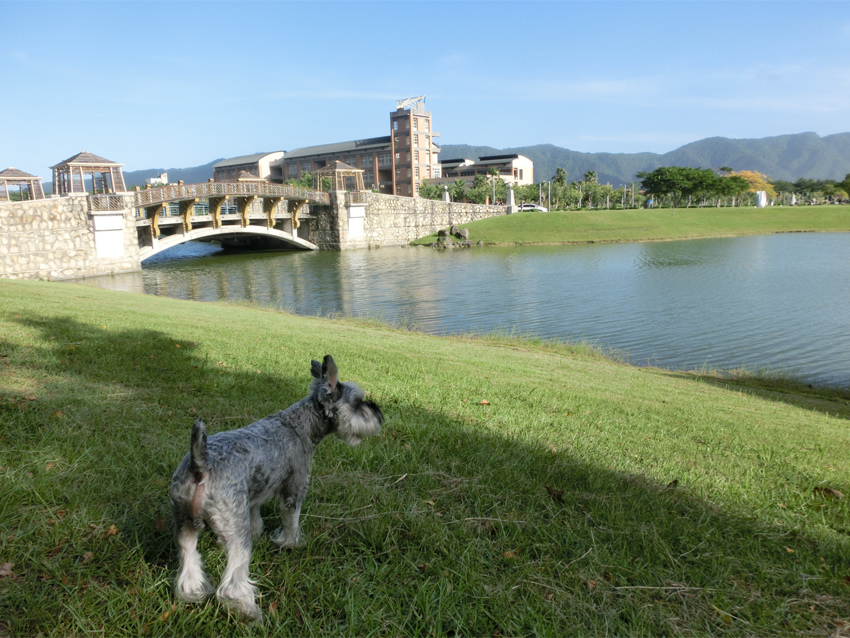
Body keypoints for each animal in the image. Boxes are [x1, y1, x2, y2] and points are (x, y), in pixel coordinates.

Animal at [169, 356, 380, 620]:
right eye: (357, 401)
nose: (378, 413)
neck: (298, 426)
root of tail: (201, 466)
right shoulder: (295, 488)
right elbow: (291, 520)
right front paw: (291, 543)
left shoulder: (254, 495)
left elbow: (256, 516)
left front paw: (259, 532)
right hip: (235, 534)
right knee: (233, 581)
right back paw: (249, 611)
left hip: (184, 524)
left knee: (188, 561)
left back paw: (194, 593)